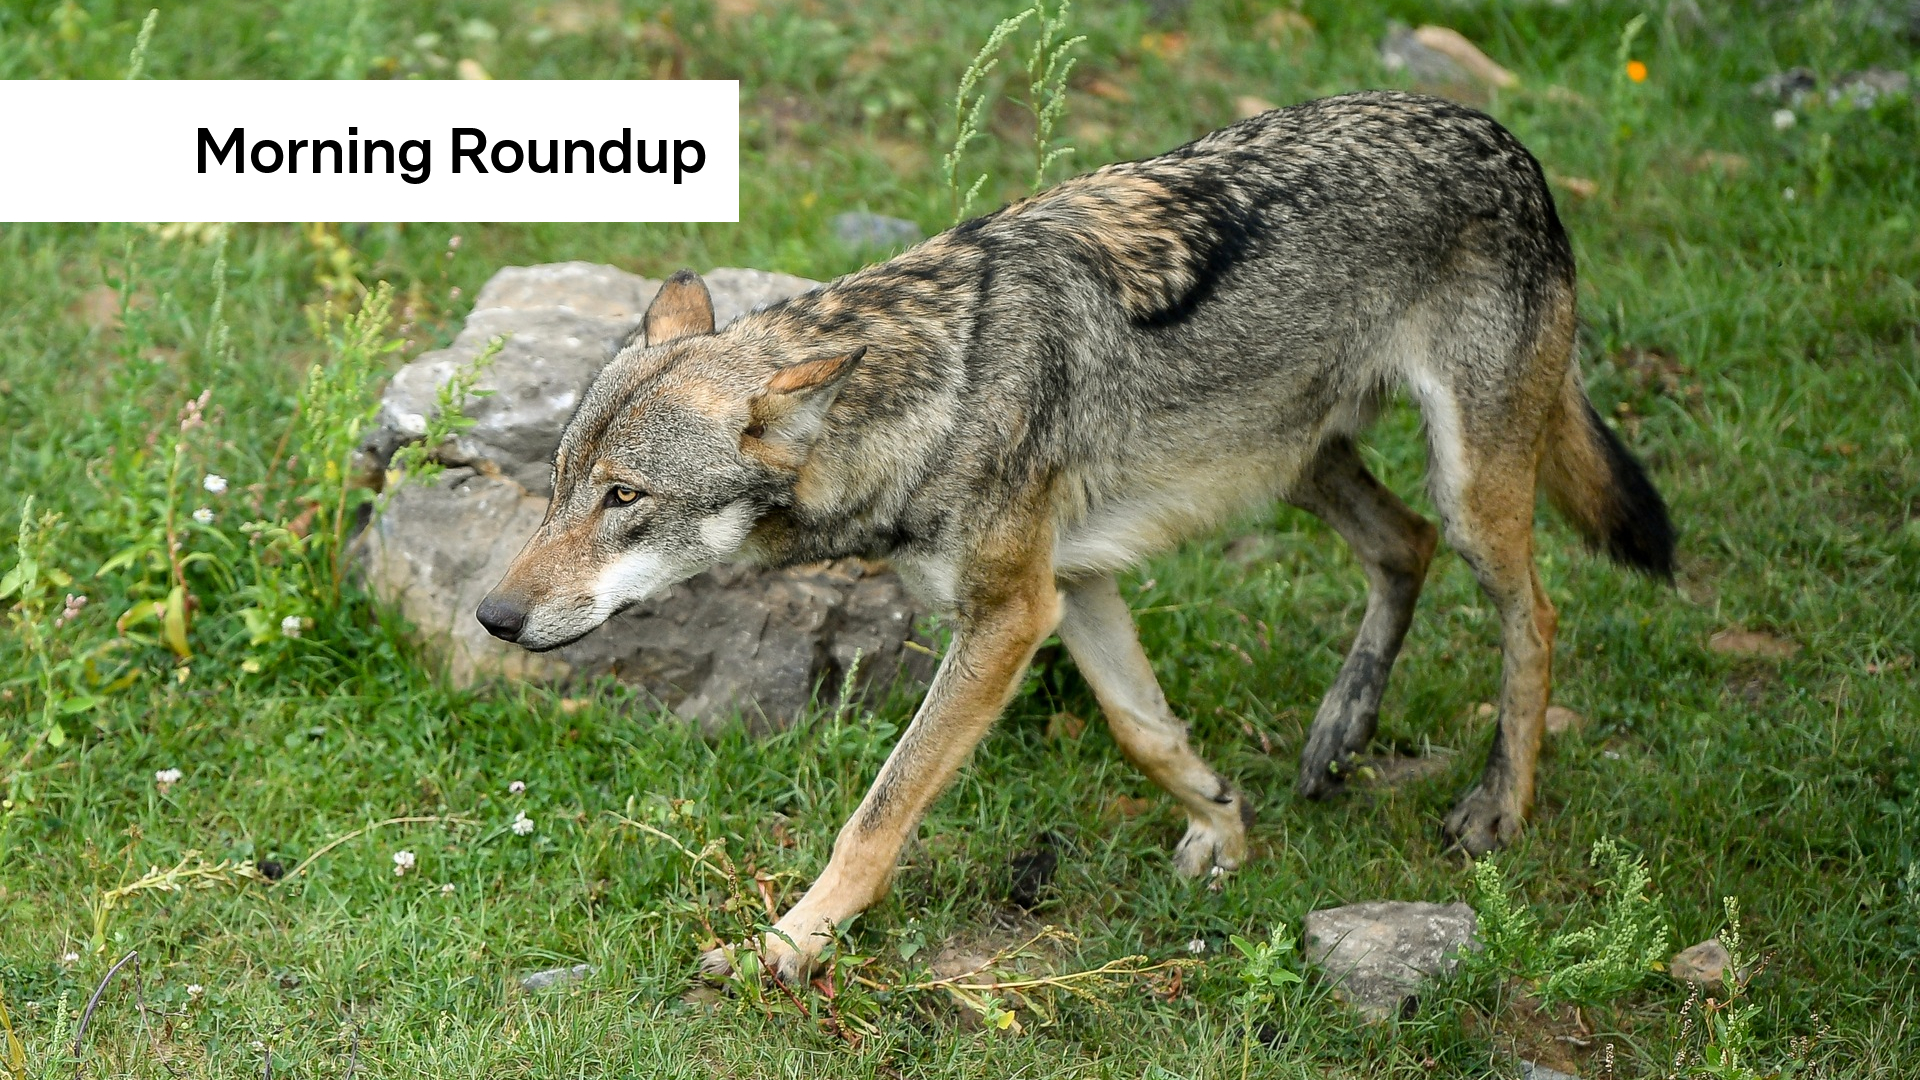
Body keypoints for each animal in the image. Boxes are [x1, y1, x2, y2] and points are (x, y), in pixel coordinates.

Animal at [476, 90, 1676, 981]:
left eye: (624, 498)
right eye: (561, 485)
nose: (492, 615)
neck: (935, 393)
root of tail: (1504, 139)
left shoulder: (1009, 613)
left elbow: (880, 810)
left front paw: (790, 945)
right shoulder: (1074, 585)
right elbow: (1144, 731)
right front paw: (1226, 828)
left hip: (1466, 487)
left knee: (1536, 611)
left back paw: (1497, 807)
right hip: (1295, 465)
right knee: (1404, 545)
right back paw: (1340, 733)